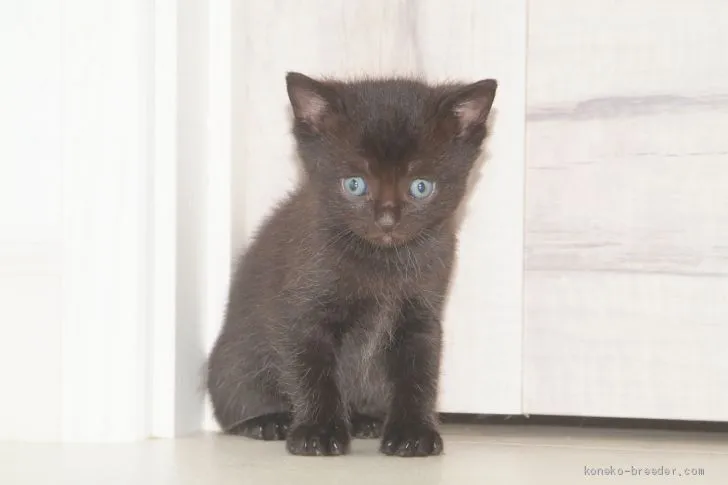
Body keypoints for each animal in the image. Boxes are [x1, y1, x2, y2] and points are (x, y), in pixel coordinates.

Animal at [208, 71, 498, 454]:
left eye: (421, 187)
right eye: (355, 184)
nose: (387, 220)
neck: (382, 263)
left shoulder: (420, 316)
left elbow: (419, 373)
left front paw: (412, 433)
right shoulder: (303, 312)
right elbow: (312, 371)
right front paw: (318, 432)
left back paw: (364, 421)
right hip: (233, 365)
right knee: (237, 403)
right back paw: (269, 422)